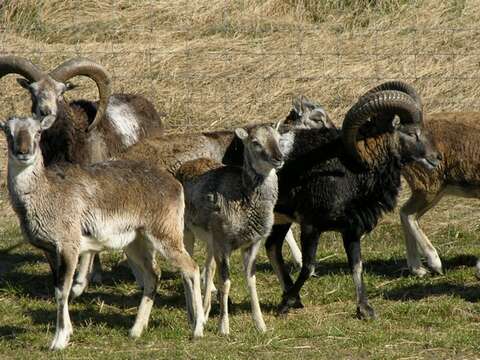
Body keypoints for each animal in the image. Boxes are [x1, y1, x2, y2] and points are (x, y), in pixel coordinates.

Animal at [0, 114, 202, 348]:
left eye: (38, 131)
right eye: (8, 131)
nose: (23, 152)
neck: (47, 194)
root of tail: (175, 184)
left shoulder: (68, 247)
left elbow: (63, 291)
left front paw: (58, 342)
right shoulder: (50, 251)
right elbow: (59, 289)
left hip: (165, 236)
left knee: (191, 268)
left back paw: (198, 329)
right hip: (135, 243)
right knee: (153, 275)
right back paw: (136, 330)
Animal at [175, 124, 282, 334]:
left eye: (278, 138)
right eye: (255, 142)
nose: (278, 158)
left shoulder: (252, 244)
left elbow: (250, 279)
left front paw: (261, 326)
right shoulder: (223, 244)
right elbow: (225, 282)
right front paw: (223, 328)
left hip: (210, 242)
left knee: (208, 269)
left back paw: (204, 314)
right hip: (186, 232)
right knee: (187, 271)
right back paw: (193, 318)